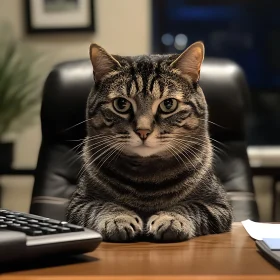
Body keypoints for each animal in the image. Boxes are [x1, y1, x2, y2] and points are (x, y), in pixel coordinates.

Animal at [66, 42, 233, 243]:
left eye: (168, 104)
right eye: (121, 104)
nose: (143, 131)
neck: (147, 180)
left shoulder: (218, 205)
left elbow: (192, 206)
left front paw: (170, 218)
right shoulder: (78, 204)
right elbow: (101, 206)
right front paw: (119, 218)